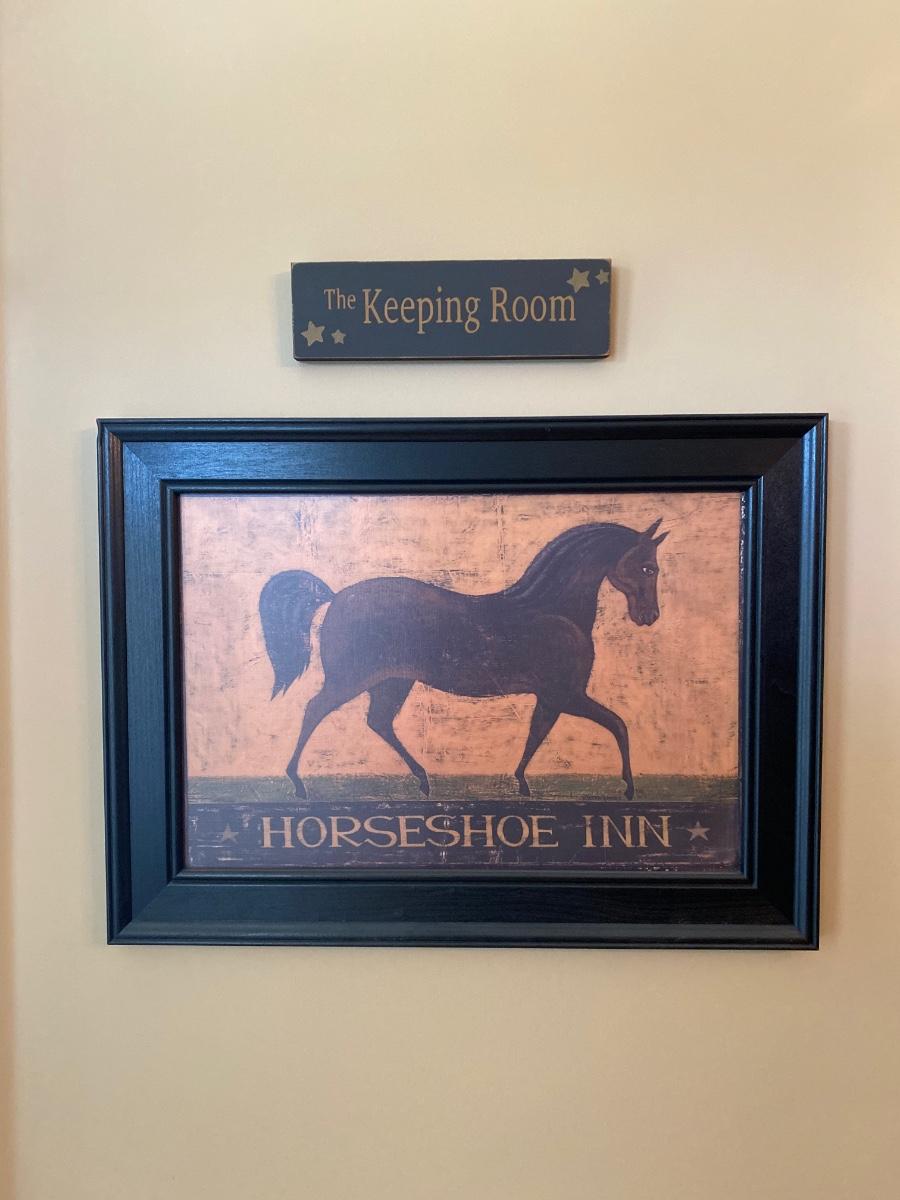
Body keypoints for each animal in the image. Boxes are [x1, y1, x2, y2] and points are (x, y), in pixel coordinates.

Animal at [259, 519, 668, 802]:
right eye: (648, 567)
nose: (649, 616)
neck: (552, 609)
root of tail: (335, 596)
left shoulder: (553, 698)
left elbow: (537, 735)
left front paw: (521, 783)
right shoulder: (565, 694)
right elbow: (618, 725)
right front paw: (629, 788)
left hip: (393, 682)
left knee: (378, 722)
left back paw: (424, 781)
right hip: (351, 679)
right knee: (316, 709)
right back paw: (298, 784)